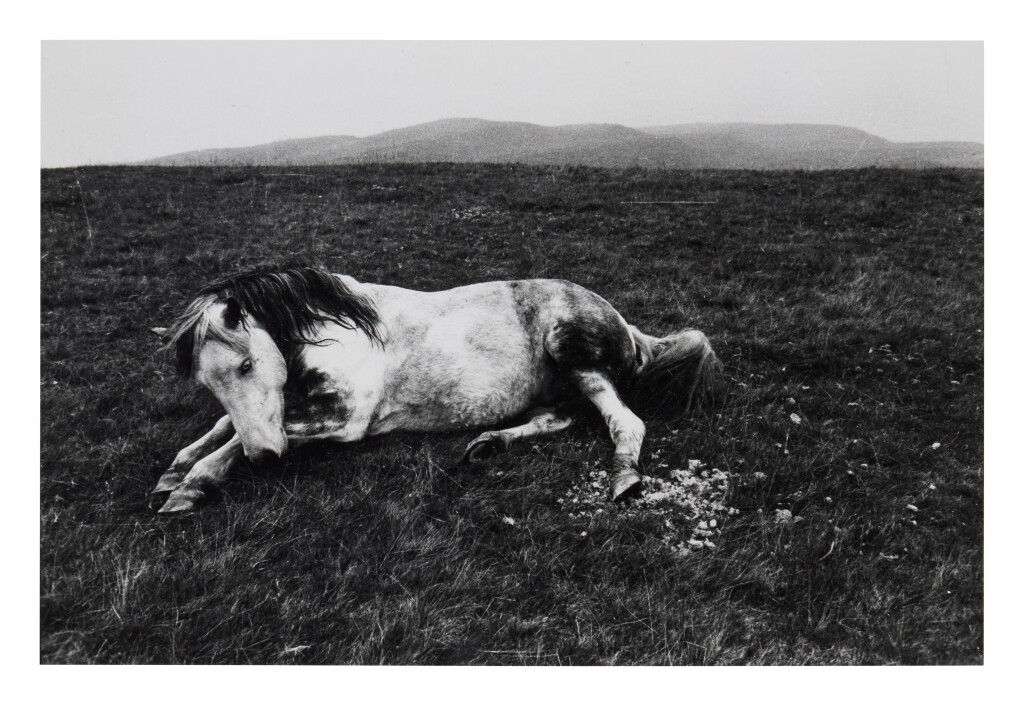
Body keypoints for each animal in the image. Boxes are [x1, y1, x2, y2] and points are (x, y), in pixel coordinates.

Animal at [150, 266, 720, 513]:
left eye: (247, 363)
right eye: (209, 381)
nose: (266, 458)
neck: (343, 332)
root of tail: (626, 325)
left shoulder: (345, 420)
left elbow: (239, 439)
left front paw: (191, 485)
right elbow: (226, 424)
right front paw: (177, 468)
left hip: (577, 360)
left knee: (625, 421)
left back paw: (625, 479)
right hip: (553, 390)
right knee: (557, 418)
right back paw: (487, 444)